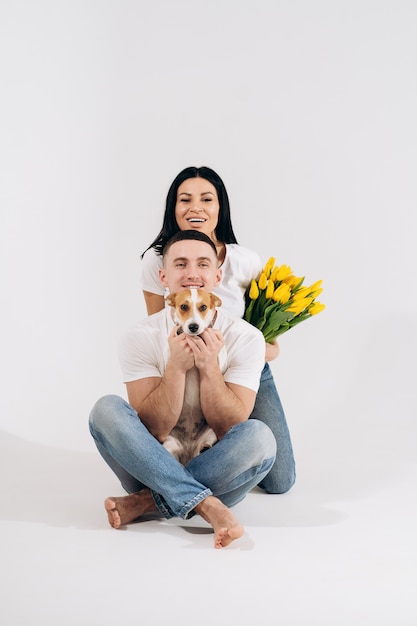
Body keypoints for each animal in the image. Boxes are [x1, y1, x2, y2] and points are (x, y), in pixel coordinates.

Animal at [162, 288, 224, 464]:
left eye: (203, 307)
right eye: (183, 306)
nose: (194, 327)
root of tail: (188, 452)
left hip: (210, 431)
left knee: (205, 445)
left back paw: (204, 448)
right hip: (169, 440)